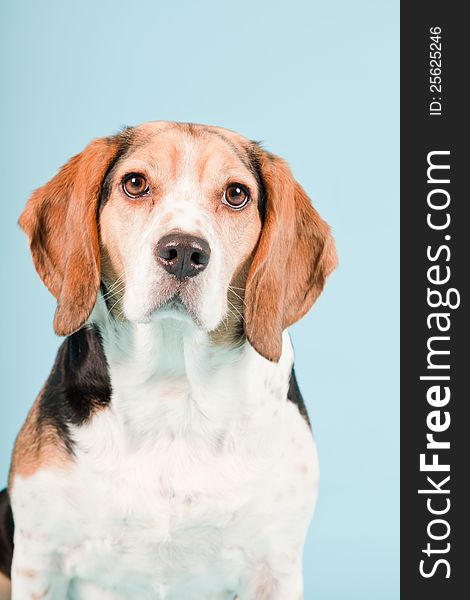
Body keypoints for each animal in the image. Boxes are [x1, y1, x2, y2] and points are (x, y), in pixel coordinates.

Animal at [0, 122, 338, 600]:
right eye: (135, 183)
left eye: (237, 194)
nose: (183, 252)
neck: (176, 389)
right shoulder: (40, 559)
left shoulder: (275, 568)